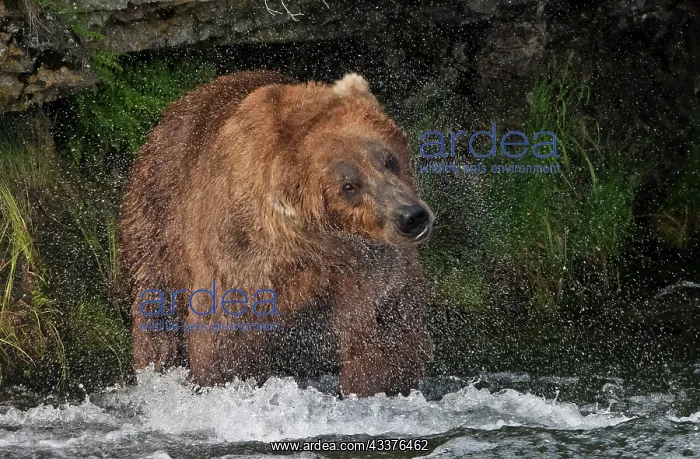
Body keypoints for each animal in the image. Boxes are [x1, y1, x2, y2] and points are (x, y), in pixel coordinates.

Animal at [119, 70, 435, 397]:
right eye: (349, 185)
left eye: (389, 160)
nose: (411, 216)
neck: (311, 242)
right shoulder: (241, 252)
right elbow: (227, 333)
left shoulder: (368, 262)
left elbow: (384, 326)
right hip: (157, 214)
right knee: (156, 305)